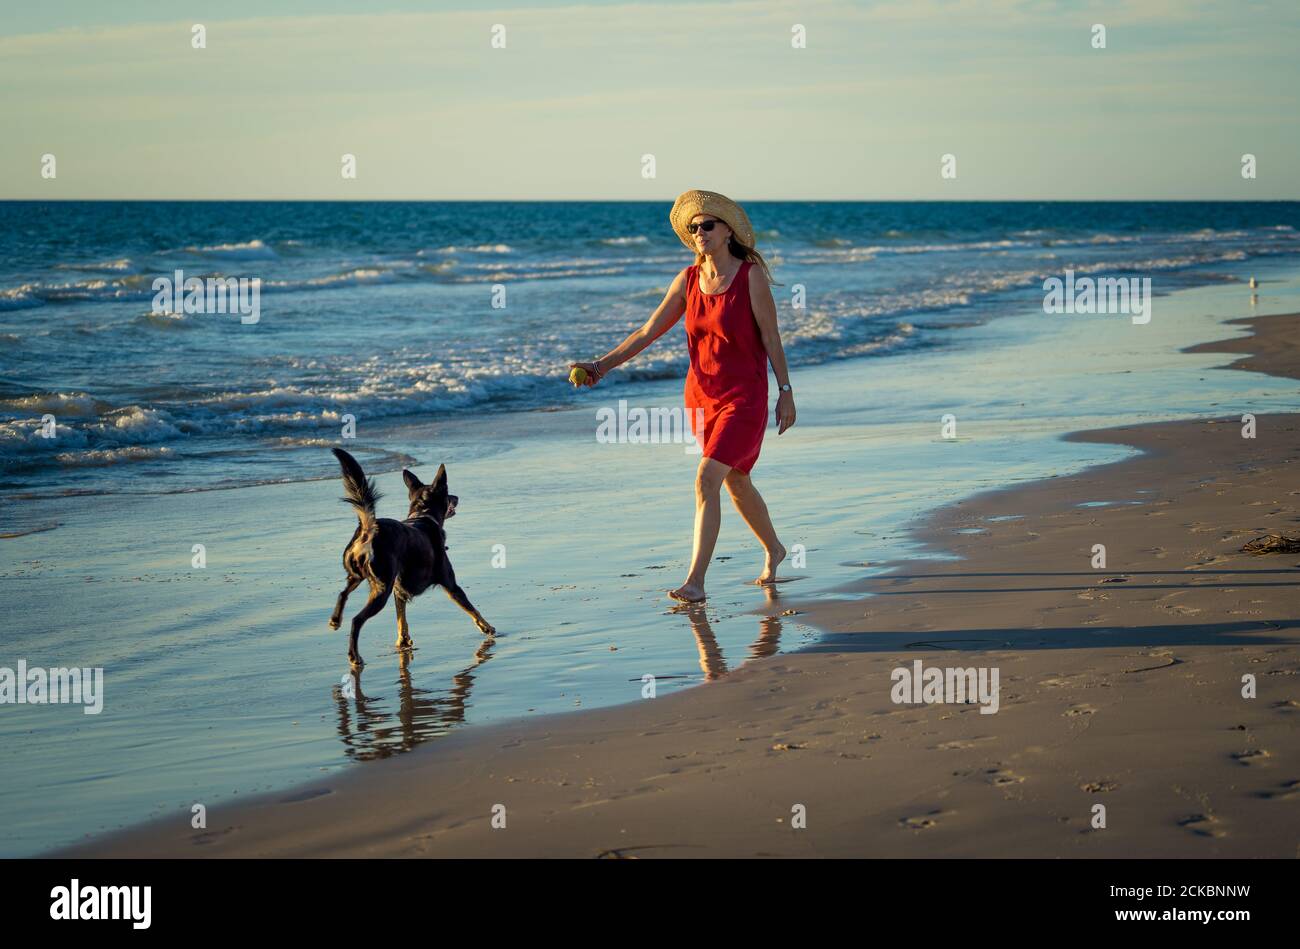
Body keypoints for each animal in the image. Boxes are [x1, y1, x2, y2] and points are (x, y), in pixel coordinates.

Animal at [330, 444, 496, 663]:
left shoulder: (398, 591)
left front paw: (403, 641)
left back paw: (335, 620)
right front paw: (488, 627)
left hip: (357, 575)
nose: (457, 497)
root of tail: (368, 529)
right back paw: (354, 655)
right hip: (382, 588)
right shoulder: (450, 585)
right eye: (448, 494)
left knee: (343, 593)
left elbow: (401, 619)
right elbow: (471, 608)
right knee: (357, 620)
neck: (423, 514)